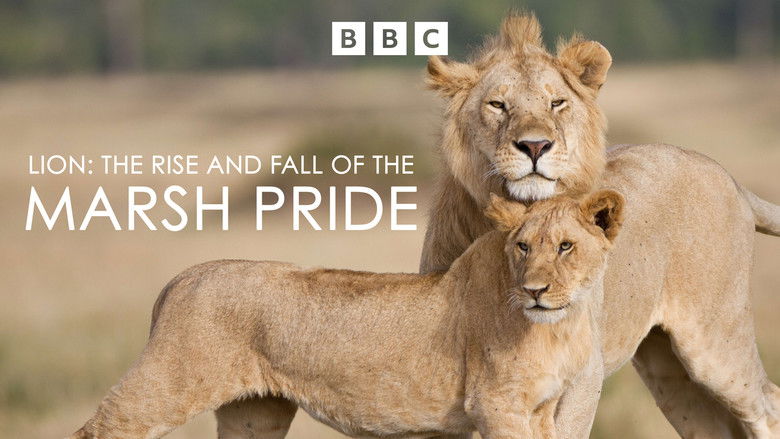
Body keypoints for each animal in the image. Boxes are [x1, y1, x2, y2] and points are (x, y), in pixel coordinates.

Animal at [68, 191, 625, 439]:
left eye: (566, 247)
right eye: (523, 247)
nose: (534, 291)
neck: (561, 326)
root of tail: (183, 276)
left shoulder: (541, 411)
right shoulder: (496, 405)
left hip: (257, 410)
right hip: (170, 383)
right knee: (101, 427)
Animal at [412, 12, 780, 439]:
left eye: (557, 103)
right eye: (498, 105)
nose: (535, 146)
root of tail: (729, 176)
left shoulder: (584, 374)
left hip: (716, 340)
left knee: (767, 404)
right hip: (669, 372)